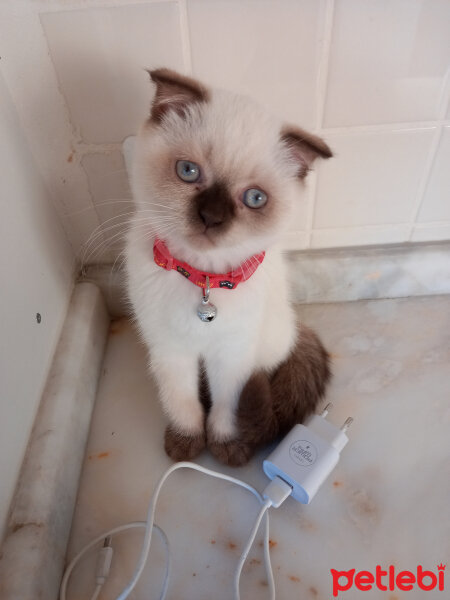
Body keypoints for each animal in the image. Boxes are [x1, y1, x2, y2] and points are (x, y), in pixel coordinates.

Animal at [125, 68, 332, 466]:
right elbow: (182, 403)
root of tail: (298, 327)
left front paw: (227, 449)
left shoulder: (232, 357)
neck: (204, 280)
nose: (211, 218)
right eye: (188, 171)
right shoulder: (171, 351)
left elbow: (227, 408)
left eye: (255, 198)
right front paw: (185, 445)